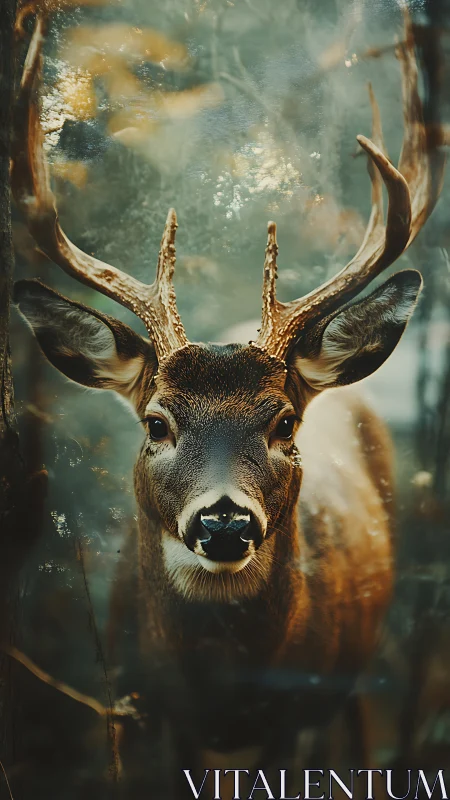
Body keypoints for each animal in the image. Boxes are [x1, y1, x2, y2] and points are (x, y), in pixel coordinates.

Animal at [10, 12, 445, 796]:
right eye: (156, 422)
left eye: (284, 422)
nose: (223, 522)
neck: (224, 689)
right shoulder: (147, 710)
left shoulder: (297, 711)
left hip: (356, 671)